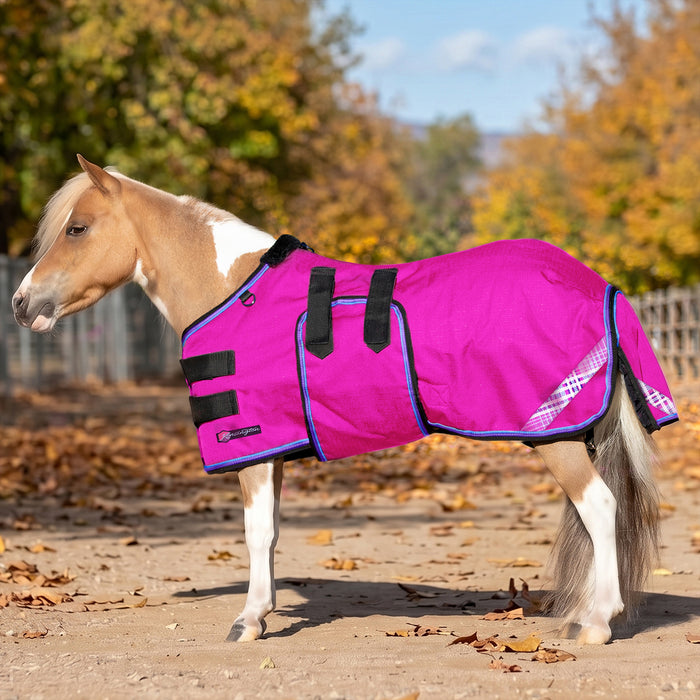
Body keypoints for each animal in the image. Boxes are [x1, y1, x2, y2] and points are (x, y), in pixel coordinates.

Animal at [12, 155, 677, 645]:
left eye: (77, 228)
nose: (22, 303)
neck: (233, 289)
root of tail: (597, 283)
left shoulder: (252, 447)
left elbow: (254, 532)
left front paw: (247, 621)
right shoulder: (275, 450)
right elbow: (271, 533)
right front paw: (263, 611)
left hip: (554, 437)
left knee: (600, 508)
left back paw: (595, 625)